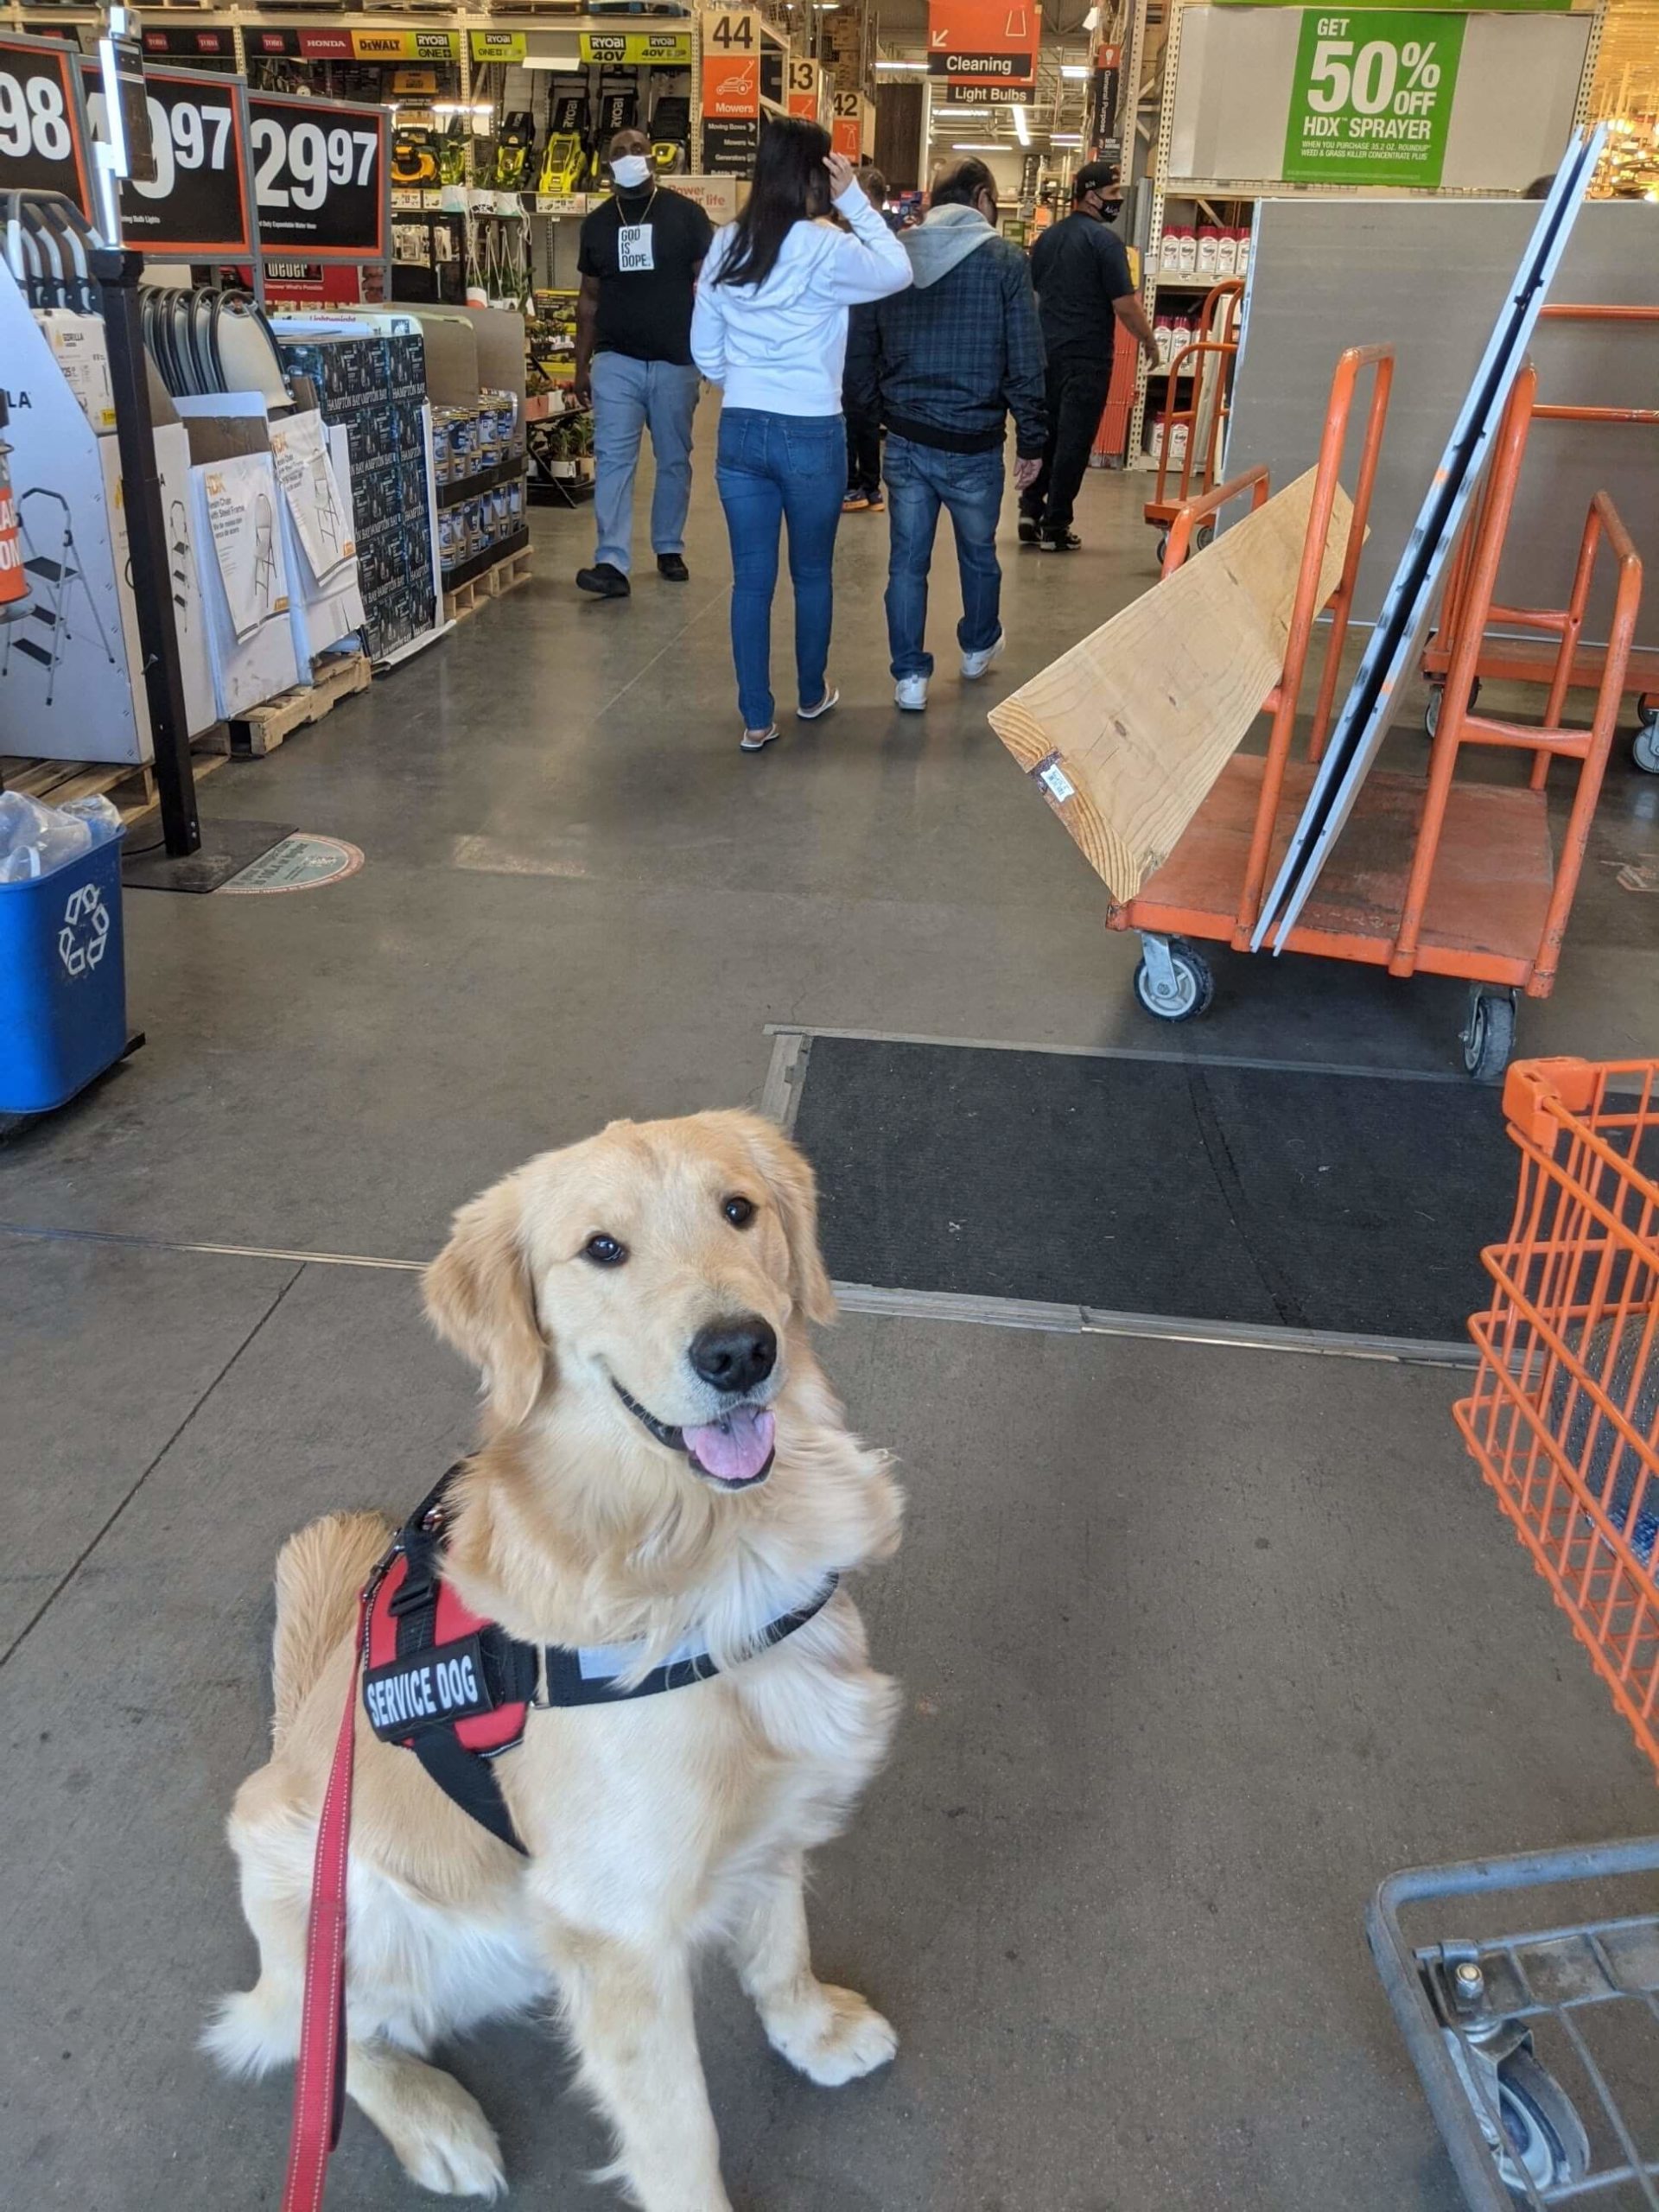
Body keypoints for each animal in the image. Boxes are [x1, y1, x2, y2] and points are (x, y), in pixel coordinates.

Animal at [211, 1115, 911, 2202]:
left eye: (739, 1209)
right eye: (602, 1249)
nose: (740, 1350)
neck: (708, 1549)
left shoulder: (773, 1802)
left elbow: (778, 1934)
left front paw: (809, 2028)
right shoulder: (615, 1927)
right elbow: (677, 2134)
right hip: (340, 1893)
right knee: (319, 2039)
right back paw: (435, 2122)